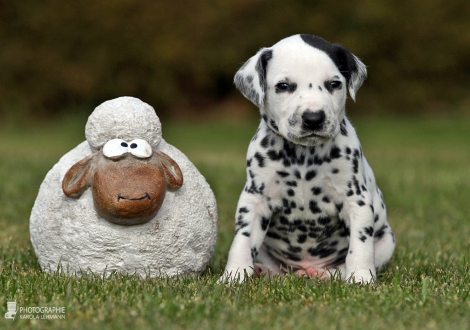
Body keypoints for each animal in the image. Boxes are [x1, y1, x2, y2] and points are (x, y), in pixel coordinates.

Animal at [220, 34, 392, 284]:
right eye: (283, 86)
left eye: (334, 84)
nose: (313, 118)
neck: (303, 157)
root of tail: (305, 269)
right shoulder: (254, 199)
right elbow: (242, 241)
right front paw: (234, 276)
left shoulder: (355, 200)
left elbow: (360, 246)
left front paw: (361, 278)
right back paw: (263, 271)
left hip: (387, 241)